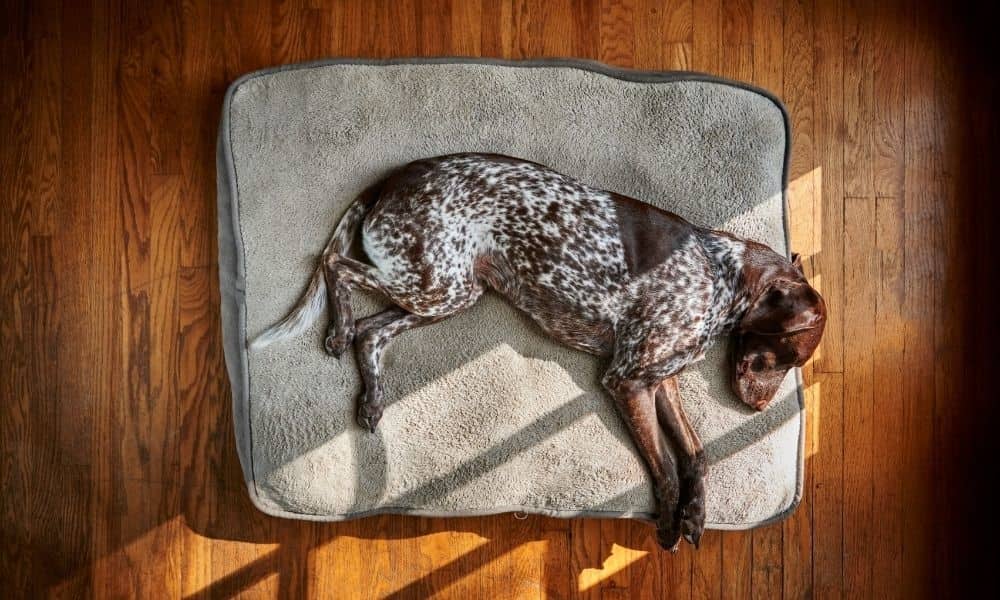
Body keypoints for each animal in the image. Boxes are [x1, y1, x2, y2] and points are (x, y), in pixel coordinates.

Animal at [252, 152, 828, 552]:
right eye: (787, 358)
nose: (758, 410)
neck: (718, 274)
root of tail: (393, 179)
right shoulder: (627, 380)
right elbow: (666, 467)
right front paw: (668, 523)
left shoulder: (659, 380)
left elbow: (696, 454)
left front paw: (695, 516)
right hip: (434, 284)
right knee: (334, 266)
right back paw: (336, 328)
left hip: (448, 292)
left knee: (370, 333)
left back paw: (371, 398)